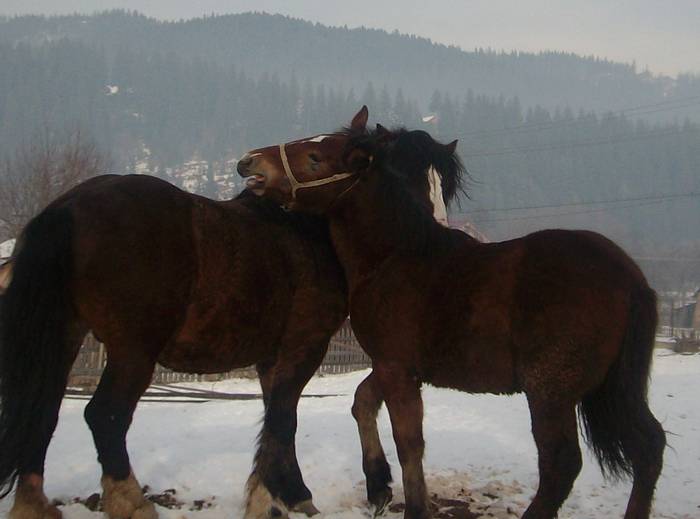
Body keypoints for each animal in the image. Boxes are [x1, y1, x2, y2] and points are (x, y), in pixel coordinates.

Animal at [0, 175, 350, 519]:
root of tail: (67, 207)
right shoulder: (305, 346)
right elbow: (282, 421)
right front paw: (282, 498)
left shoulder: (271, 358)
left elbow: (273, 424)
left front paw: (278, 496)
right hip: (133, 351)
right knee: (106, 416)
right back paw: (132, 503)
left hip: (64, 336)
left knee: (42, 410)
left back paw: (34, 505)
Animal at [238, 105, 664, 519]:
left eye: (315, 157)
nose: (250, 163)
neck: (396, 254)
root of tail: (631, 278)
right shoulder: (397, 367)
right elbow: (365, 403)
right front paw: (379, 484)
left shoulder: (395, 367)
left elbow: (408, 442)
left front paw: (409, 504)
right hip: (615, 388)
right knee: (649, 446)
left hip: (551, 392)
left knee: (561, 464)